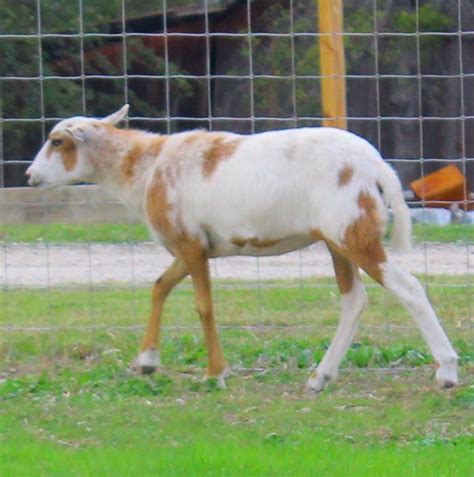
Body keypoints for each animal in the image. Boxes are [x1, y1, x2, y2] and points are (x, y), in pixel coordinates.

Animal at [26, 106, 460, 388]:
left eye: (57, 141)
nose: (30, 176)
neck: (145, 167)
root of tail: (376, 165)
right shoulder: (195, 245)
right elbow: (160, 286)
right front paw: (147, 361)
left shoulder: (188, 242)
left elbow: (203, 306)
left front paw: (215, 373)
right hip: (337, 239)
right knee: (354, 301)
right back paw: (320, 377)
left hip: (354, 233)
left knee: (408, 288)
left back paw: (448, 371)